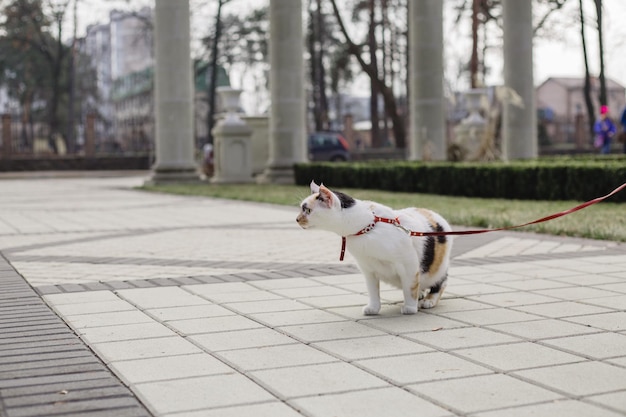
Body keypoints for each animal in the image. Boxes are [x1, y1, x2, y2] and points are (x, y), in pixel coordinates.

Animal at [294, 180, 450, 314]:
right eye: (302, 209)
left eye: (308, 210)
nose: (296, 219)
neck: (366, 227)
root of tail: (436, 215)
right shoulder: (368, 269)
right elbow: (373, 291)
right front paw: (373, 308)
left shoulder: (408, 264)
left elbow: (410, 288)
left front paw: (410, 308)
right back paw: (422, 294)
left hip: (438, 269)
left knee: (441, 282)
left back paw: (429, 300)